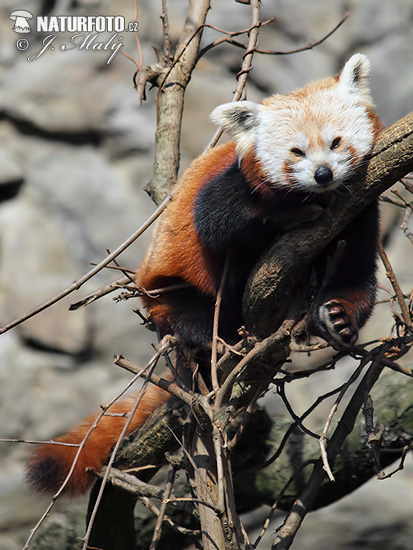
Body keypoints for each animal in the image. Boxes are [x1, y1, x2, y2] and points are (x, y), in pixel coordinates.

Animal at [25, 55, 380, 496]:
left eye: (335, 143)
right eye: (296, 152)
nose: (323, 174)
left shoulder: (359, 208)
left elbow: (355, 274)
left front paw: (337, 317)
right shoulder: (226, 186)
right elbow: (219, 218)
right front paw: (289, 212)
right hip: (170, 294)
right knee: (196, 315)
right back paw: (214, 343)